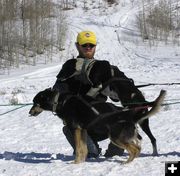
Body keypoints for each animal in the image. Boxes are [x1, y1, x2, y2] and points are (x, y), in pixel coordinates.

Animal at [29, 88, 166, 164]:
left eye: (35, 102)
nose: (29, 112)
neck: (60, 101)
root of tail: (131, 116)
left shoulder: (75, 129)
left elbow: (78, 149)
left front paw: (75, 162)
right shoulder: (83, 130)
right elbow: (84, 149)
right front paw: (81, 162)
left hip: (116, 138)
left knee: (136, 149)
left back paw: (126, 163)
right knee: (138, 147)